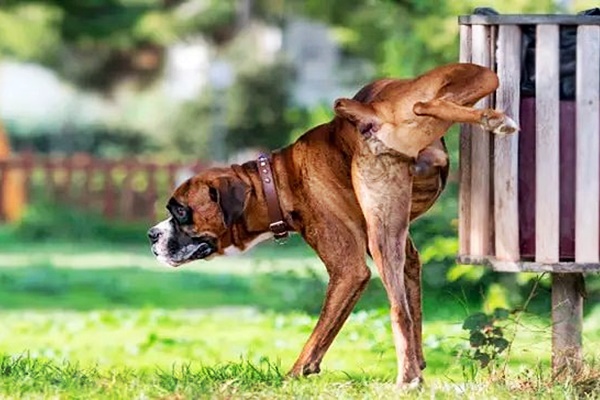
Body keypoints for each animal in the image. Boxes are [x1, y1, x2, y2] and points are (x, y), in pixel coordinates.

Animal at [149, 62, 516, 388]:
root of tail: (370, 113)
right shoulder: (407, 254)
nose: (152, 234)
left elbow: (319, 332)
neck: (276, 180)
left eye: (180, 211)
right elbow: (415, 310)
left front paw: (293, 375)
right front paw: (420, 363)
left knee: (398, 311)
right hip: (473, 84)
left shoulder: (347, 270)